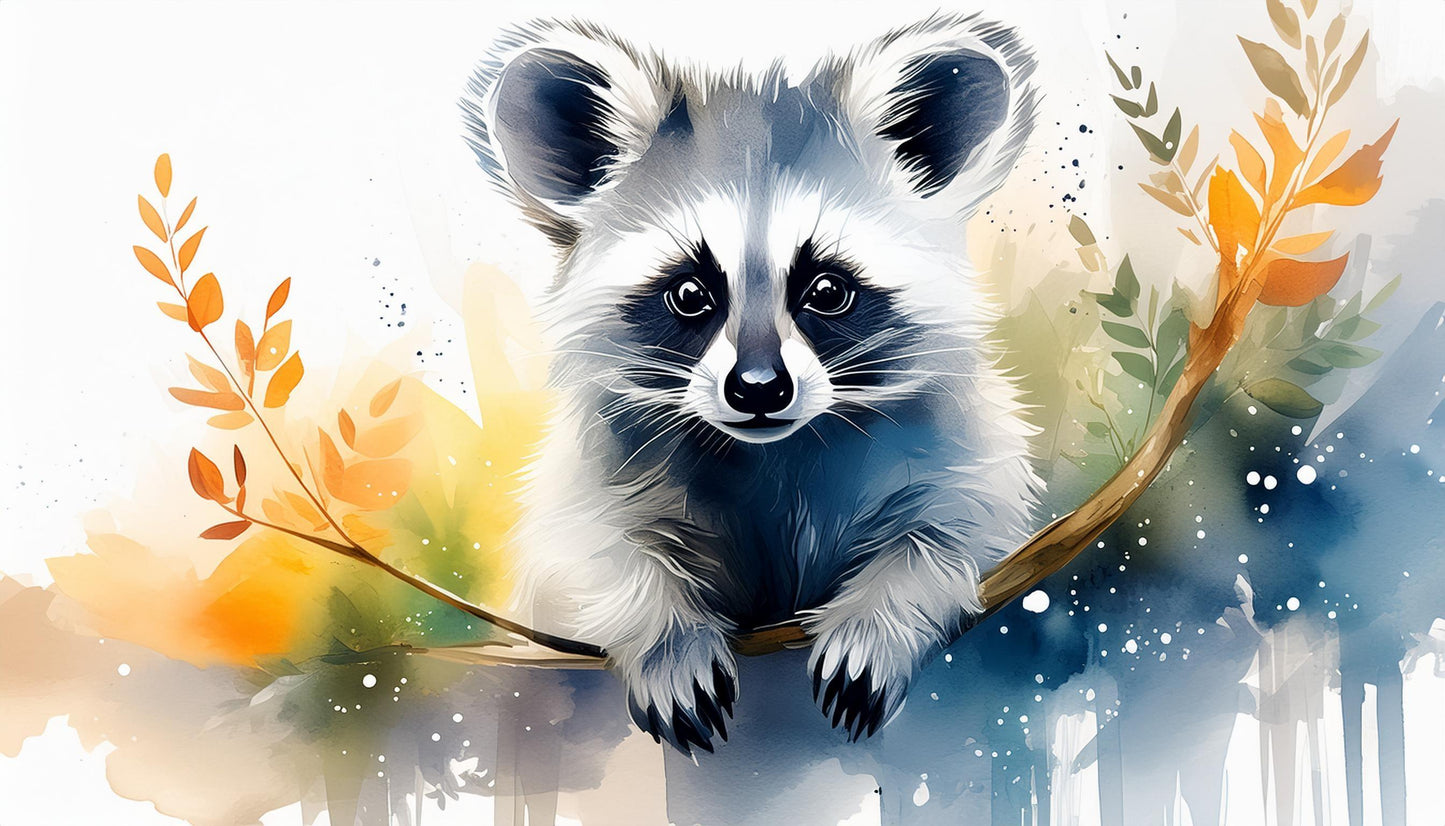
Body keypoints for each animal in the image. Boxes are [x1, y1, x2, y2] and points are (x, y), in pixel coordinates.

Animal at [462, 12, 1042, 754]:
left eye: (827, 289)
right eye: (690, 293)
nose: (759, 389)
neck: (775, 451)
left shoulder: (954, 436)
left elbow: (962, 526)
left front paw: (880, 613)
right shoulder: (596, 462)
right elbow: (581, 550)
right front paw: (665, 636)